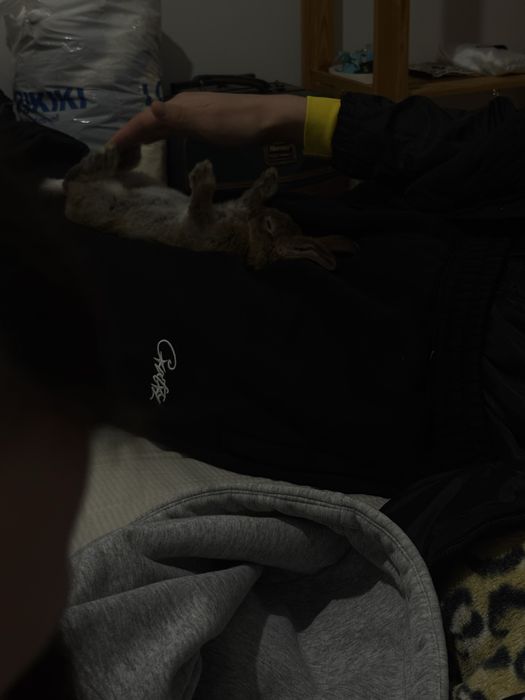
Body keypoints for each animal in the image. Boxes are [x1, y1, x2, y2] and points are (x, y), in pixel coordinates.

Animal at [53, 143, 358, 270]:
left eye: (269, 226)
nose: (260, 217)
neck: (247, 235)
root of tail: (68, 200)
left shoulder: (200, 228)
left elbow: (199, 204)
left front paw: (203, 174)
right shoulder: (236, 208)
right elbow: (252, 196)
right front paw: (270, 177)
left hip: (97, 202)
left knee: (74, 177)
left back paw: (107, 157)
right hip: (135, 180)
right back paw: (121, 154)